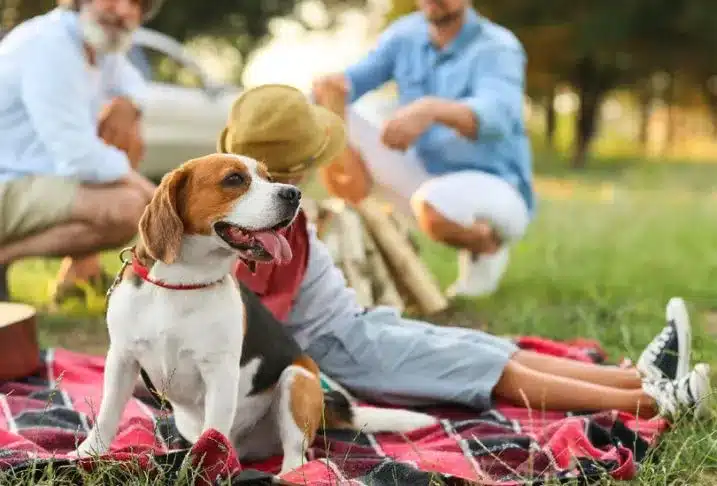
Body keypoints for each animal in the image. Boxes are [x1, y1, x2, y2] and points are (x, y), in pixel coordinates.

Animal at [74, 154, 436, 472]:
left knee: (298, 454)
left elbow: (214, 434)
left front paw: (204, 468)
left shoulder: (220, 372)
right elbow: (107, 414)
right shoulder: (122, 359)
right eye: (234, 179)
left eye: (269, 177)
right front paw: (89, 453)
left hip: (297, 380)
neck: (181, 284)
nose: (293, 194)